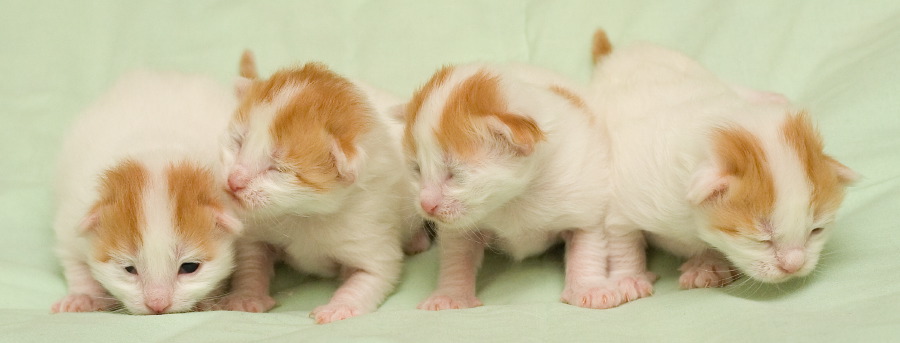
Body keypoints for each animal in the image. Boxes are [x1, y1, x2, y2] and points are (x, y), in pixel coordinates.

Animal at [52, 71, 241, 316]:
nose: (157, 304)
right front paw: (83, 297)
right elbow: (76, 262)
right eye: (129, 268)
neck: (158, 148)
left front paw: (206, 301)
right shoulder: (71, 216)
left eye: (189, 267)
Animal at [218, 52, 428, 324]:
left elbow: (370, 276)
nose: (233, 181)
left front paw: (340, 307)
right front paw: (246, 296)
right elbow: (250, 261)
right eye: (238, 143)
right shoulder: (256, 228)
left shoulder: (370, 233)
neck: (304, 214)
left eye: (278, 168)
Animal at [400, 62, 620, 312]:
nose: (426, 205)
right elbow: (456, 258)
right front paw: (450, 295)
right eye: (417, 170)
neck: (515, 197)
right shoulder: (459, 229)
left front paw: (590, 289)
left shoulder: (586, 200)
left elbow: (587, 249)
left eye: (454, 174)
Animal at [588, 30, 856, 308]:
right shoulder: (624, 196)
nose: (794, 266)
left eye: (816, 230)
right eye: (760, 238)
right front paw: (627, 279)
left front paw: (707, 265)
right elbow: (622, 240)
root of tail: (622, 52)